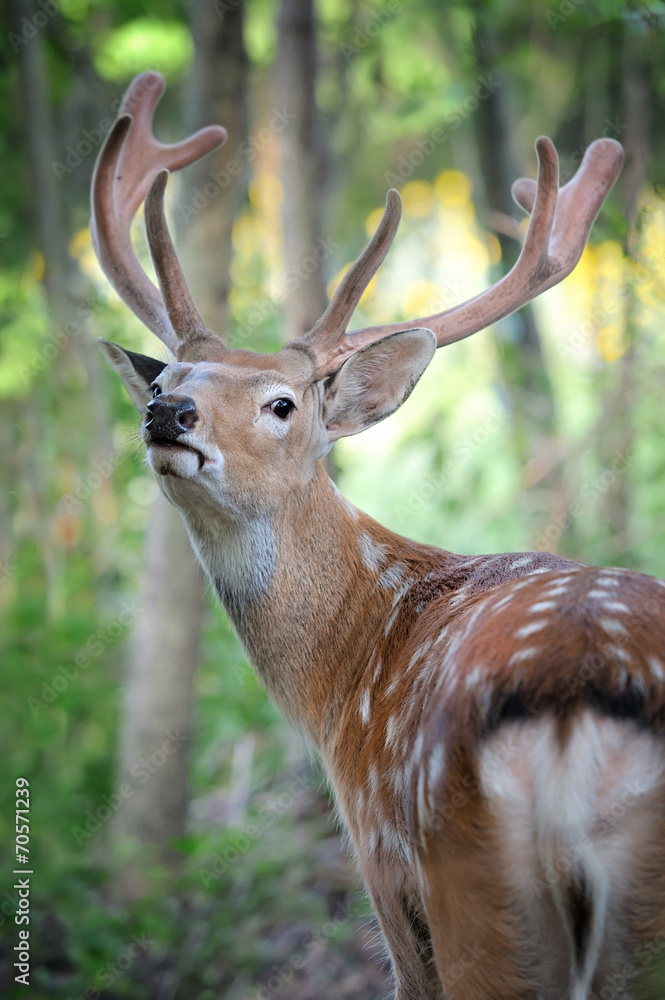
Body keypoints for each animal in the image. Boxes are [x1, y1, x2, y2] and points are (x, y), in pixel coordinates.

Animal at [91, 70, 664, 1000]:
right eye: (165, 376)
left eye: (281, 403)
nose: (166, 413)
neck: (345, 669)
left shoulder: (379, 865)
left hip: (463, 870)